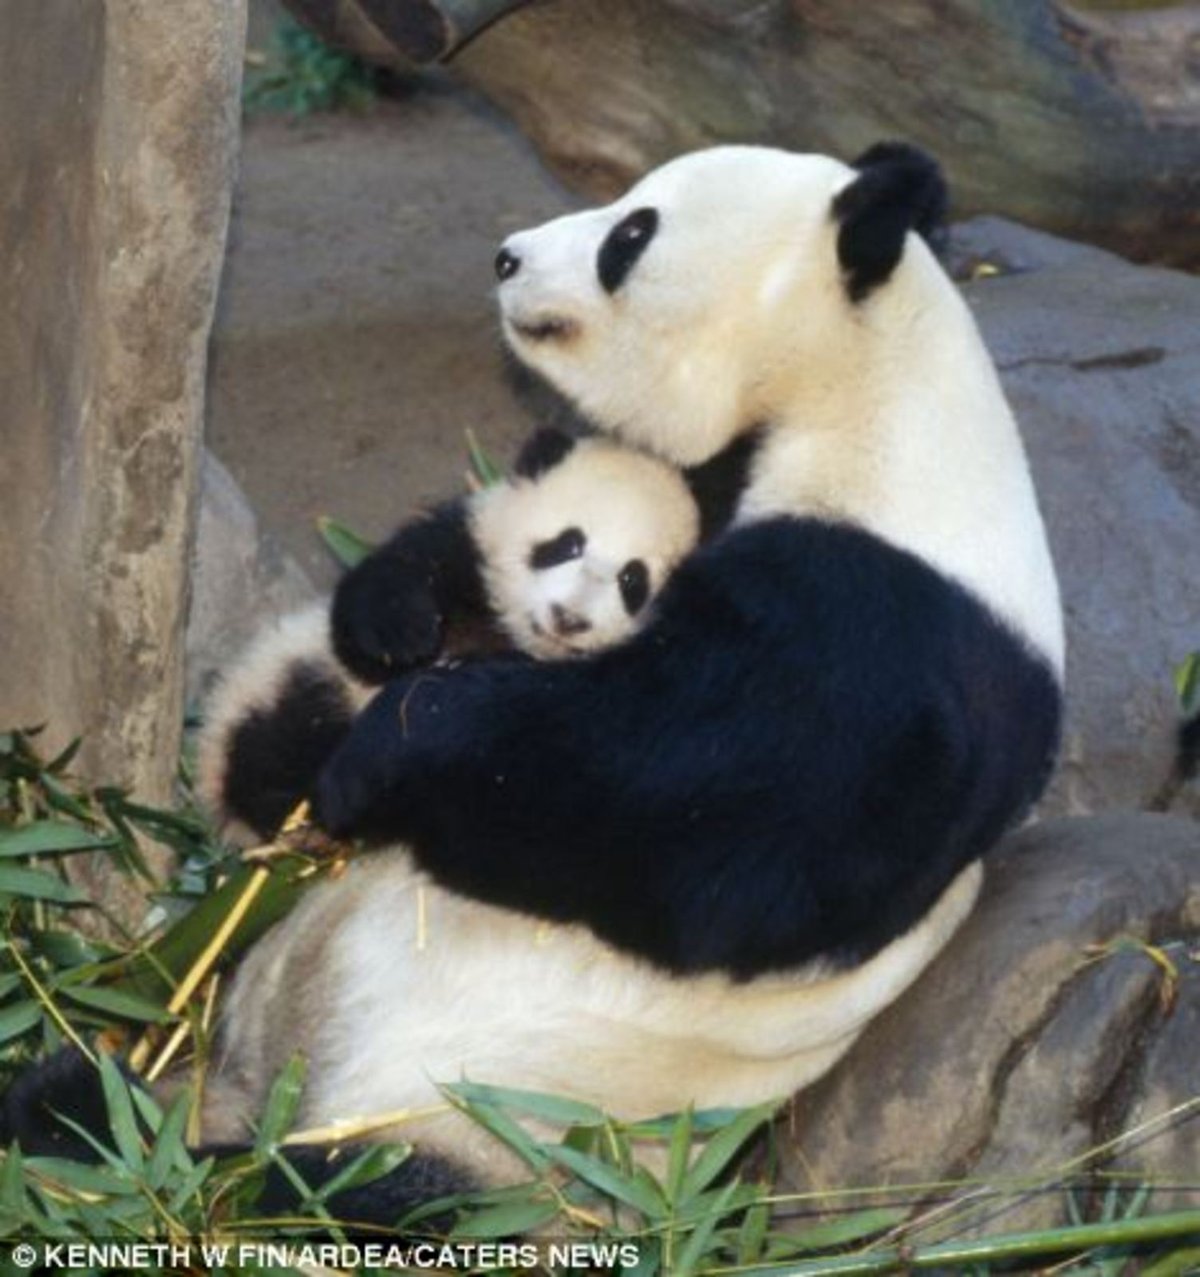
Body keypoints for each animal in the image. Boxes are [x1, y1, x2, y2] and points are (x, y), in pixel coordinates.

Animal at [4, 142, 1062, 1225]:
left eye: (630, 232)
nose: (508, 256)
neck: (861, 391)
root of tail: (274, 1091)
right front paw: (383, 657)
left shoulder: (880, 632)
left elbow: (682, 822)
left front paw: (387, 754)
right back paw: (82, 1099)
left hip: (502, 1128)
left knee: (363, 1194)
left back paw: (172, 1159)